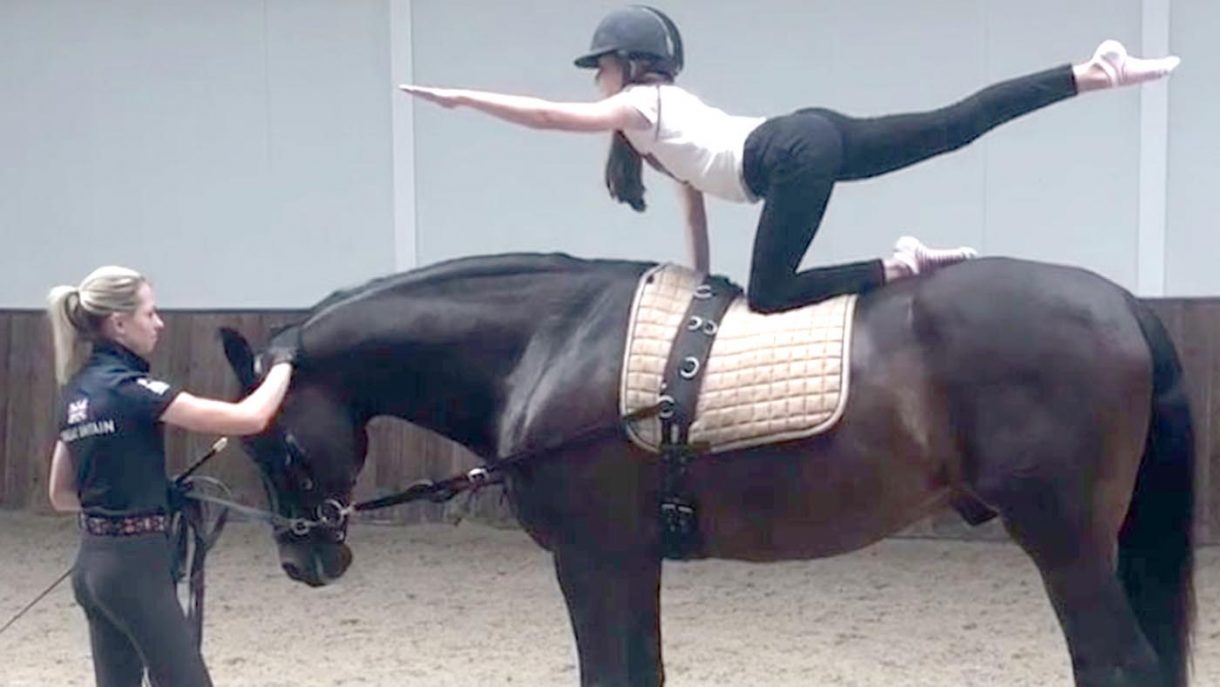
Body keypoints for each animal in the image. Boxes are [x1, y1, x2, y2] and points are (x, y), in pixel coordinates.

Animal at [219, 252, 1194, 687]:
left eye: (276, 445)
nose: (304, 561)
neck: (548, 345)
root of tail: (1121, 303)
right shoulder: (630, 559)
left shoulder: (593, 558)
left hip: (1066, 547)